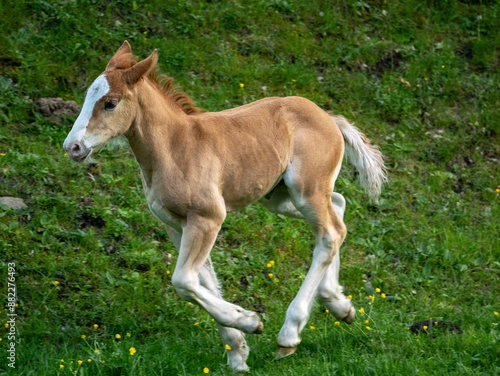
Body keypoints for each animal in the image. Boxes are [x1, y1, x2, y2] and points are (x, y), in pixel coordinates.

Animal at [63, 41, 386, 374]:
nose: (72, 147)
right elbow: (203, 280)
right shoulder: (177, 225)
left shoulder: (208, 218)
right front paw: (238, 353)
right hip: (280, 197)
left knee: (331, 233)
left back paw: (290, 334)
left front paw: (250, 321)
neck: (175, 147)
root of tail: (329, 117)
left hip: (305, 191)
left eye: (110, 103)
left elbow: (183, 281)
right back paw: (339, 304)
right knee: (338, 210)